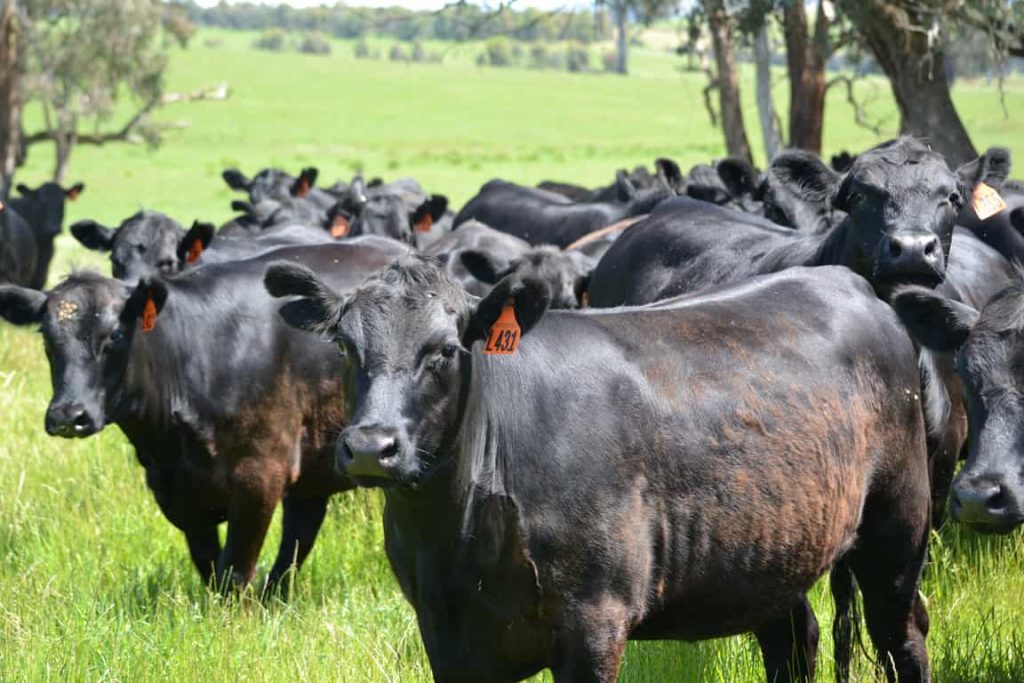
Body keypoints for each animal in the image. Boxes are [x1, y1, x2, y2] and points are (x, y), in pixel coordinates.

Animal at [0, 238, 410, 591]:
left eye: (115, 334)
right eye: (46, 337)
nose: (69, 415)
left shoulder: (259, 475)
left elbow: (235, 569)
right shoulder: (177, 493)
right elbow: (210, 566)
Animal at [264, 256, 931, 683]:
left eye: (445, 351)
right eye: (346, 347)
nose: (371, 446)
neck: (456, 536)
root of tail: (845, 278)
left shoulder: (594, 622)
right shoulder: (447, 638)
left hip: (898, 529)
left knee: (902, 636)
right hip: (769, 550)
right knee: (794, 642)